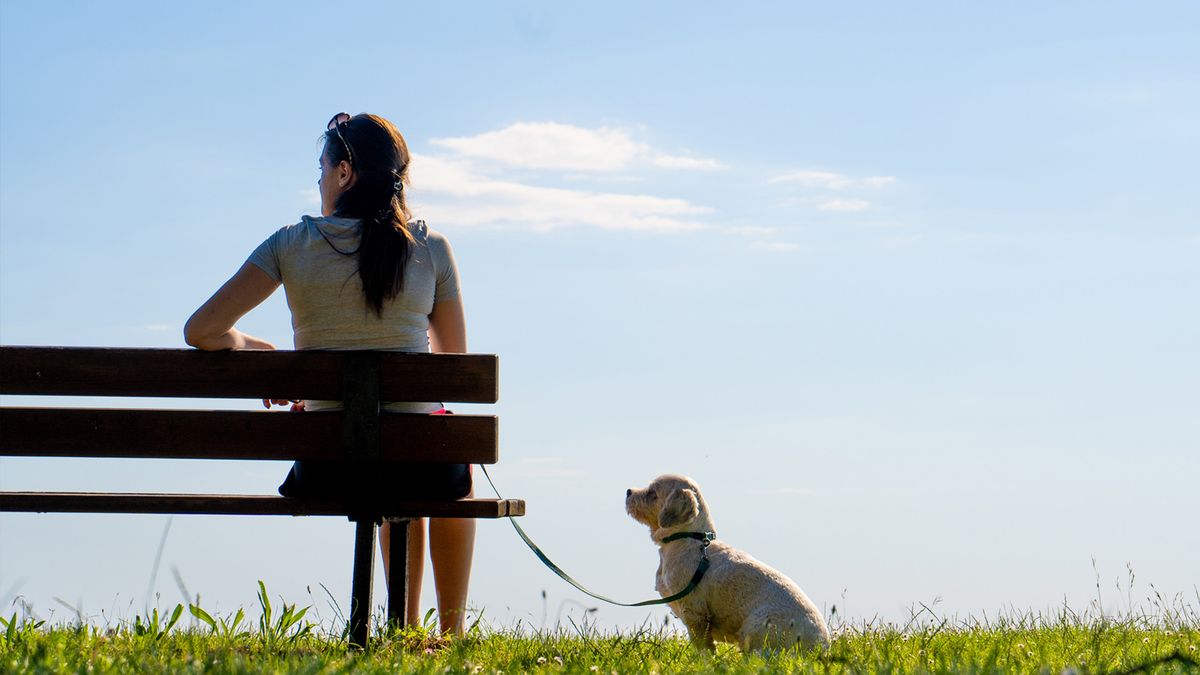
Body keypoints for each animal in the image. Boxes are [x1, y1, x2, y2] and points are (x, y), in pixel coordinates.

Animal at [624, 470, 830, 648]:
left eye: (652, 493)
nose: (628, 491)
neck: (688, 538)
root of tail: (821, 646)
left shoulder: (695, 613)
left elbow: (704, 649)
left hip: (755, 629)